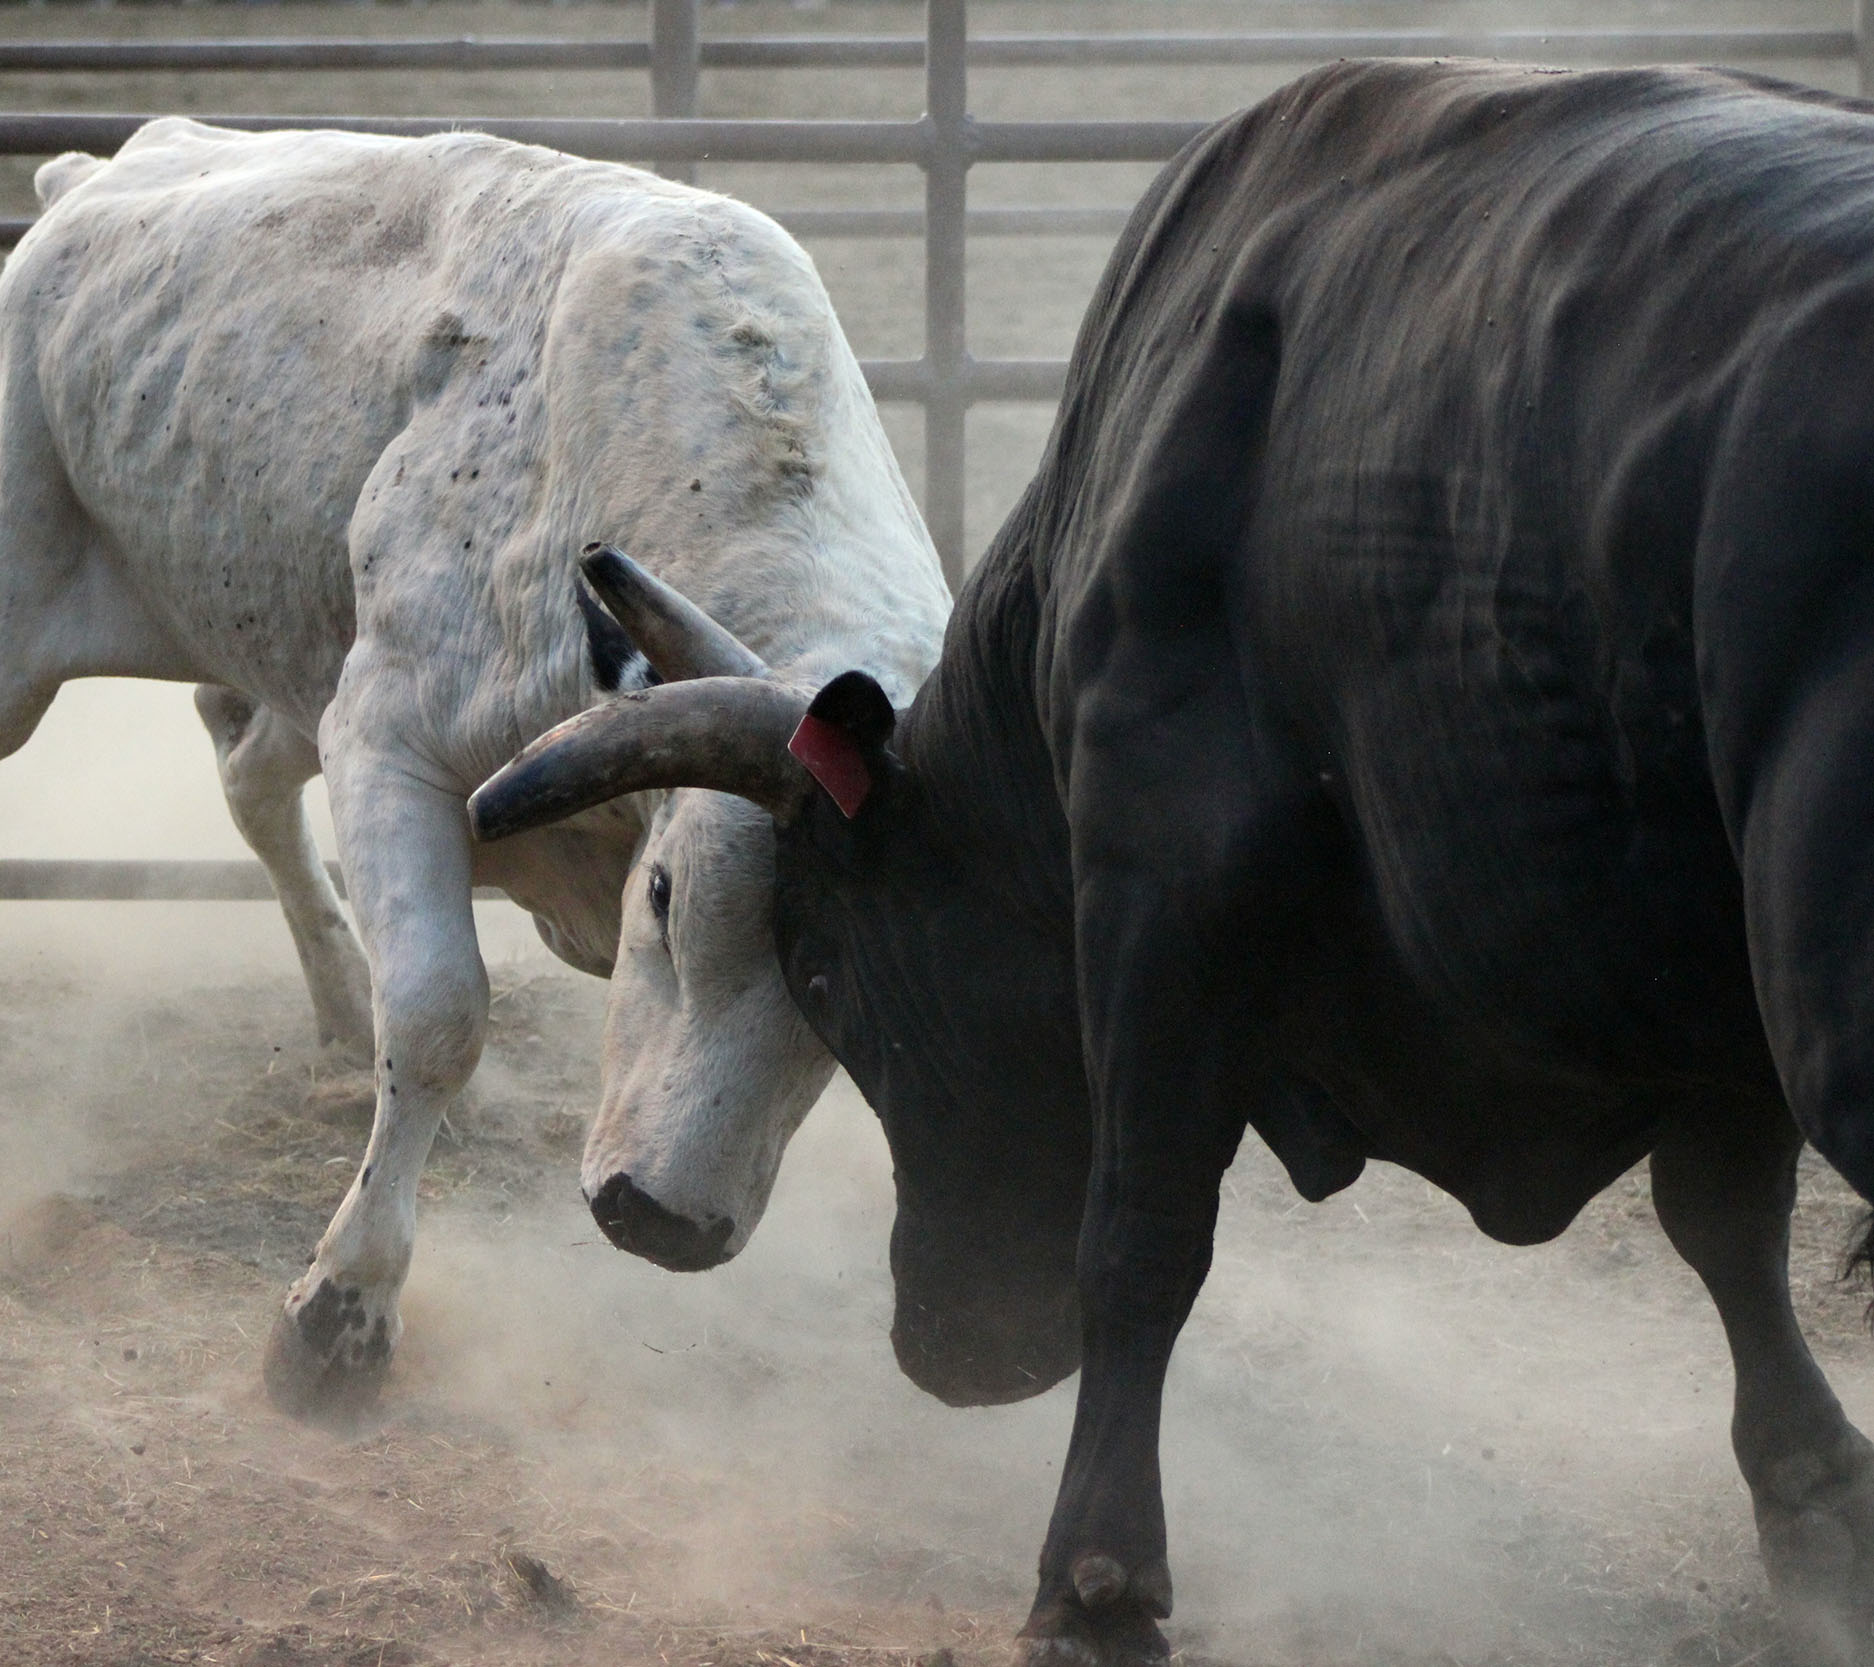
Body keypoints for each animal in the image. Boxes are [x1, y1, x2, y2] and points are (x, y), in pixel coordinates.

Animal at [7, 119, 951, 1416]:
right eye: (668, 897)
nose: (661, 1221)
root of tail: (95, 174)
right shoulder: (389, 743)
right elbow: (441, 1016)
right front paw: (339, 1311)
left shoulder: (359, 713)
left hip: (301, 662)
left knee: (250, 778)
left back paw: (339, 1005)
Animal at [472, 61, 1874, 1663]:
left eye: (819, 975)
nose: (940, 1342)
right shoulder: (1700, 983)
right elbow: (1725, 1224)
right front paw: (1815, 1504)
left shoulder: (1161, 899)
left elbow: (1140, 1236)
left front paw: (1093, 1576)